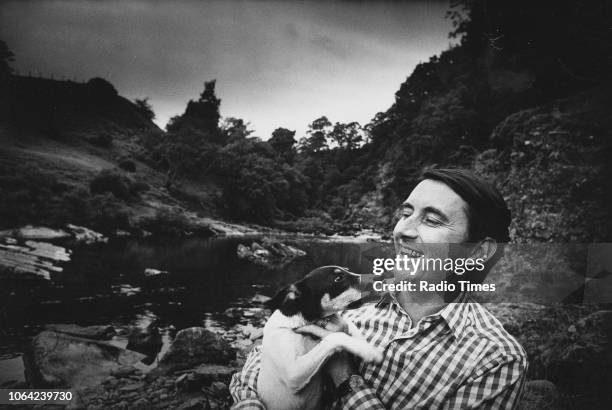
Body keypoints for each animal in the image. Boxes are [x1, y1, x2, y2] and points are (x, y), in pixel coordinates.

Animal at [256, 266, 382, 410]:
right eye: (338, 279)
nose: (381, 277)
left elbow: (350, 326)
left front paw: (363, 346)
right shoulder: (293, 373)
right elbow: (335, 337)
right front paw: (368, 351)